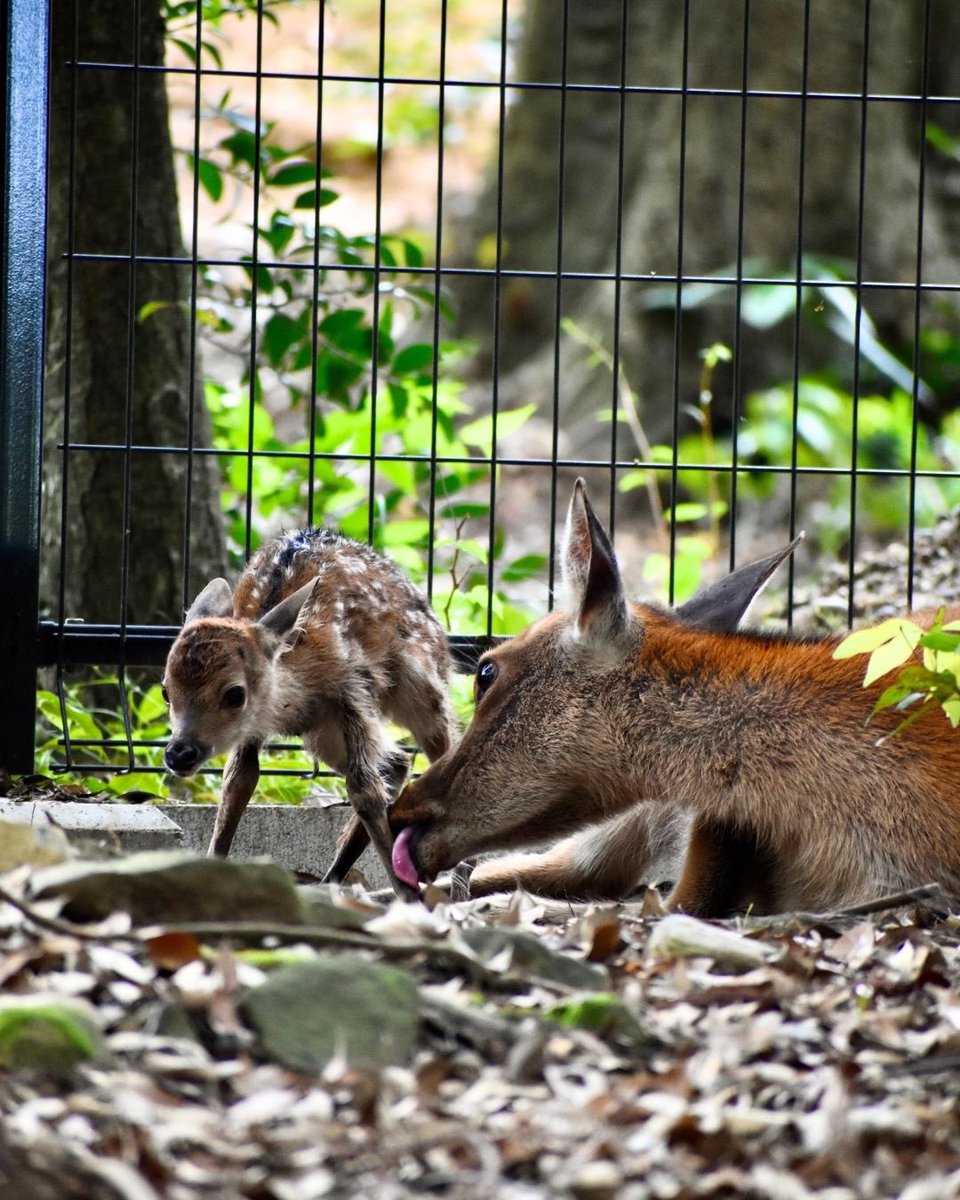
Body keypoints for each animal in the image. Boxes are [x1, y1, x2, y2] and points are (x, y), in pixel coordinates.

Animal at [162, 526, 457, 893]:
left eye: (234, 694)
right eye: (165, 691)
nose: (179, 753)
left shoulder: (354, 686)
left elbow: (364, 790)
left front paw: (407, 894)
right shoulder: (257, 724)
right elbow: (239, 780)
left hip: (423, 686)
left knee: (442, 750)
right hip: (323, 735)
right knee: (397, 762)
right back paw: (332, 878)